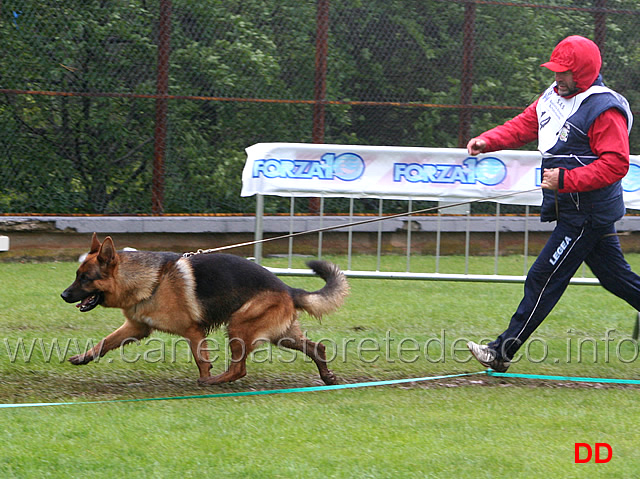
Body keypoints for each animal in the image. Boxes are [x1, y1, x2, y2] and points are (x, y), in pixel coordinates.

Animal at [61, 234, 350, 388]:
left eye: (85, 278)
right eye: (76, 275)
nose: (63, 295)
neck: (152, 280)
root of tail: (287, 288)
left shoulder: (193, 331)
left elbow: (201, 360)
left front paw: (205, 378)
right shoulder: (136, 327)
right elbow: (105, 342)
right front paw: (83, 357)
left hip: (239, 326)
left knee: (239, 369)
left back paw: (214, 382)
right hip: (281, 334)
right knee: (317, 347)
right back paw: (327, 376)